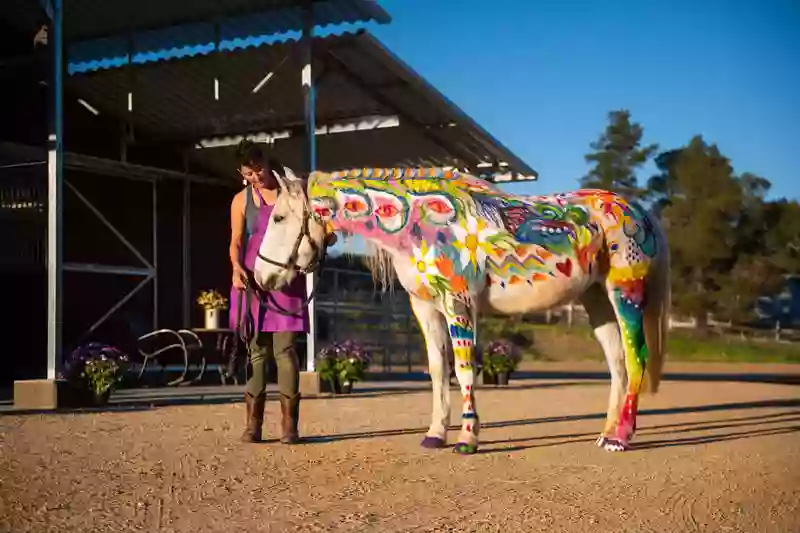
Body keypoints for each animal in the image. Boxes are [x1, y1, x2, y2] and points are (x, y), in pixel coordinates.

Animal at [253, 166, 672, 454]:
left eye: (279, 217)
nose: (261, 277)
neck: (422, 224)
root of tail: (639, 211)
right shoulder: (425, 307)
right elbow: (439, 370)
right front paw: (435, 435)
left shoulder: (458, 303)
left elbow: (465, 369)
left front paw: (468, 439)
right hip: (596, 299)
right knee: (618, 365)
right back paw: (606, 433)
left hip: (624, 292)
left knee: (636, 360)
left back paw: (620, 439)